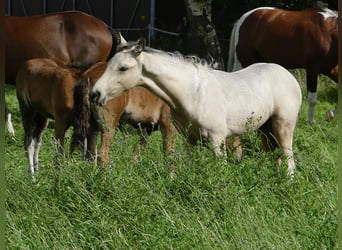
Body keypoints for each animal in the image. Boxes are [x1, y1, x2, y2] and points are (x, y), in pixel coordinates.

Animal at [91, 39, 302, 178]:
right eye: (109, 64)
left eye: (123, 68)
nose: (95, 94)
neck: (193, 93)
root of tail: (288, 76)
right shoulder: (189, 139)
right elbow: (190, 165)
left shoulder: (217, 139)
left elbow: (220, 170)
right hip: (265, 130)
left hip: (283, 126)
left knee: (289, 160)